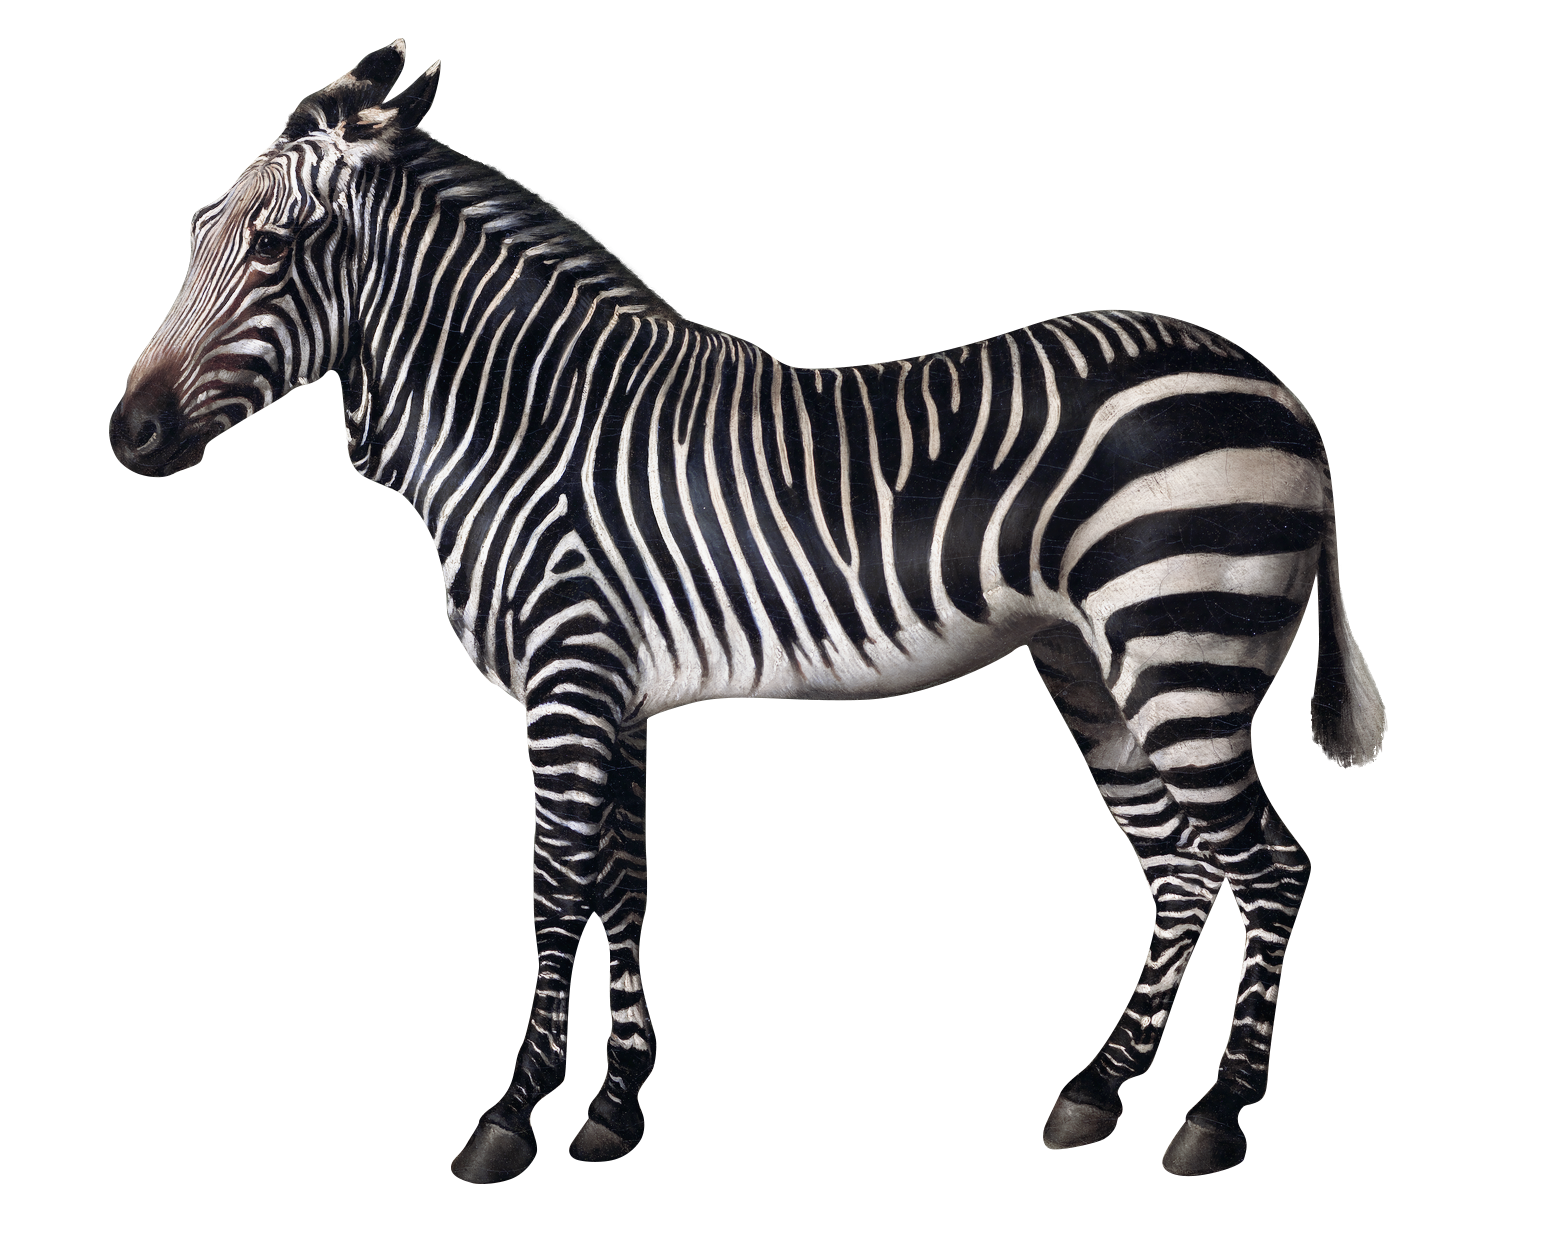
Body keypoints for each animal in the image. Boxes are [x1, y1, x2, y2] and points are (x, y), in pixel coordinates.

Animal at [110, 41, 1387, 1182]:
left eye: (275, 246)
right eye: (196, 234)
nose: (127, 433)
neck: (522, 421)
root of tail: (1274, 383)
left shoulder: (566, 674)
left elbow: (556, 891)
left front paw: (509, 1118)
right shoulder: (608, 682)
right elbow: (616, 882)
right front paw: (611, 1108)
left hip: (1181, 644)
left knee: (1265, 865)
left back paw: (1217, 1118)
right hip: (1095, 661)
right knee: (1177, 868)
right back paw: (1094, 1091)